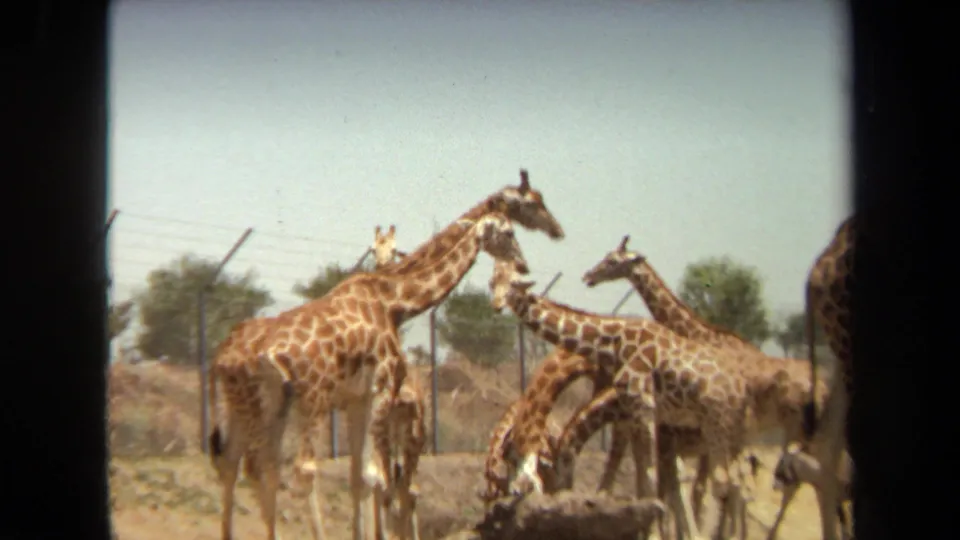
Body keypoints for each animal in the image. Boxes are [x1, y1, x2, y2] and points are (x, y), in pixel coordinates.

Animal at [208, 171, 565, 540]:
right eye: (531, 205)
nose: (555, 232)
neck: (394, 301)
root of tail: (226, 361)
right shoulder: (380, 390)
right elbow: (375, 479)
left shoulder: (356, 398)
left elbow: (359, 477)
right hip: (310, 402)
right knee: (300, 471)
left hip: (253, 406)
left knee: (241, 465)